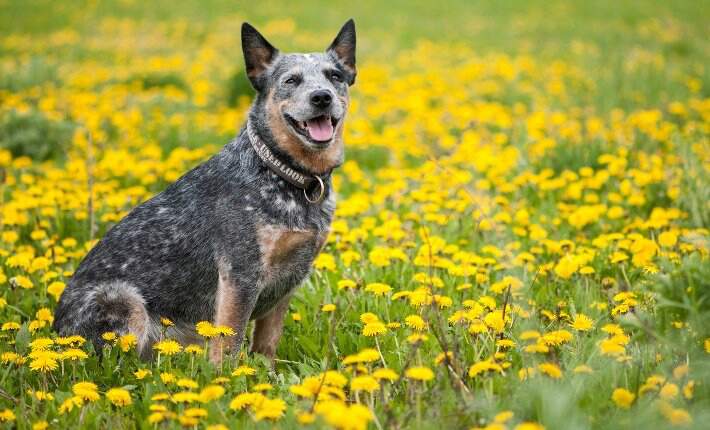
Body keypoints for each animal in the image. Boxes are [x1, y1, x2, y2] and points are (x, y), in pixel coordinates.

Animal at [52, 20, 358, 362]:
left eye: (335, 76)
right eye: (291, 80)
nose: (322, 97)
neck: (285, 174)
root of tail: (55, 335)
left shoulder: (290, 280)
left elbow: (267, 344)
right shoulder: (240, 275)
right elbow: (229, 344)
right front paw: (229, 375)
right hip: (126, 302)